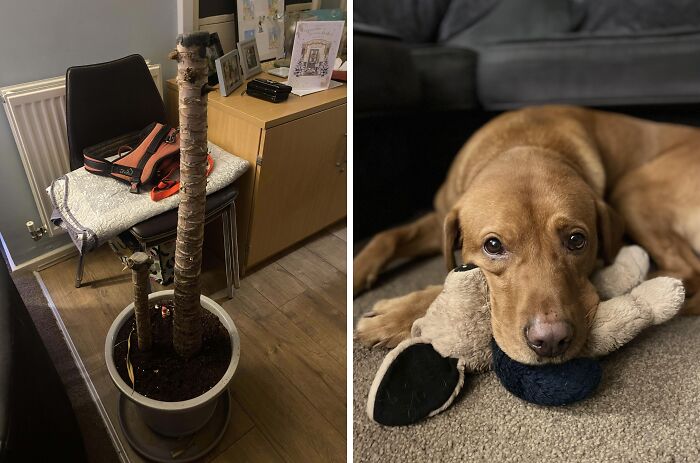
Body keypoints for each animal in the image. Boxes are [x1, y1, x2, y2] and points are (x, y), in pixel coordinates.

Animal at [356, 106, 700, 366]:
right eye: (493, 245)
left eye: (577, 240)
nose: (550, 341)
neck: (525, 142)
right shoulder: (443, 215)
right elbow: (388, 236)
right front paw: (358, 272)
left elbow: (445, 284)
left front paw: (393, 316)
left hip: (632, 190)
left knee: (687, 270)